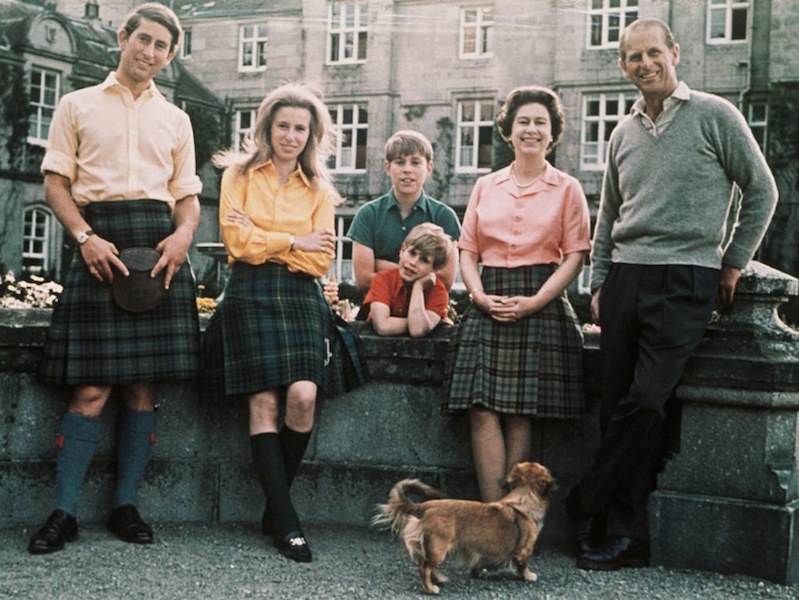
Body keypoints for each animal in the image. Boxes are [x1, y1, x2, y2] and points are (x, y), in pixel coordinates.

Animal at [376, 462, 556, 592]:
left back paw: (439, 579)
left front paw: (478, 573)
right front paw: (529, 576)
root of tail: (423, 506)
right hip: (438, 548)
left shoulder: (484, 552)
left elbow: (480, 563)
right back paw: (431, 588)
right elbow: (523, 565)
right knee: (424, 567)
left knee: (426, 564)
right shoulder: (525, 550)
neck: (523, 497)